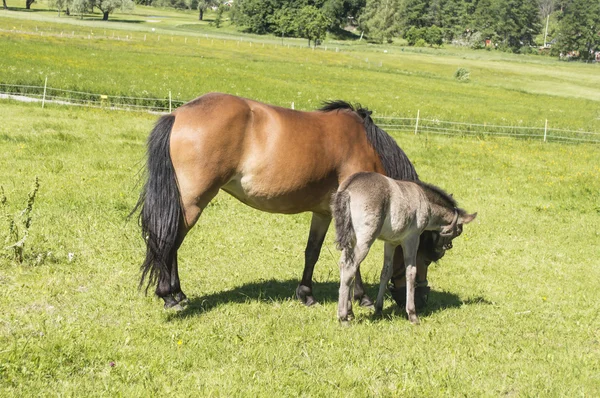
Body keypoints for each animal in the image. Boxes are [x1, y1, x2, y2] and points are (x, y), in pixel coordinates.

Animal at [134, 94, 448, 310]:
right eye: (427, 257)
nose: (423, 299)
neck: (366, 145)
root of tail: (178, 115)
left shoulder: (323, 213)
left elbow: (313, 252)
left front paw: (306, 294)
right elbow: (354, 255)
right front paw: (364, 298)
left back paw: (177, 293)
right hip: (192, 202)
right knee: (168, 241)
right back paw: (169, 295)